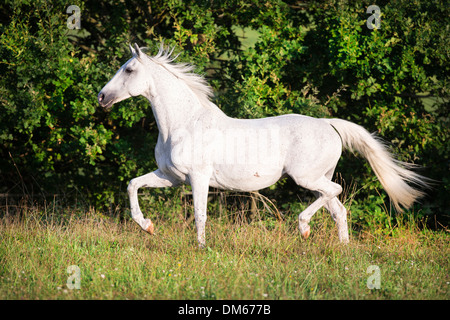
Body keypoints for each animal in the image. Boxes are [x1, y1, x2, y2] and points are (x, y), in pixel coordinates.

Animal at [98, 43, 428, 246]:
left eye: (129, 70)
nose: (102, 97)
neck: (184, 124)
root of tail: (328, 123)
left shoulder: (198, 178)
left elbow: (200, 214)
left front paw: (200, 248)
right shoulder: (171, 177)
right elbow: (133, 185)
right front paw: (147, 226)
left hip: (306, 178)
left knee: (334, 194)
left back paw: (304, 228)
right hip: (318, 179)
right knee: (338, 209)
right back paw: (343, 249)